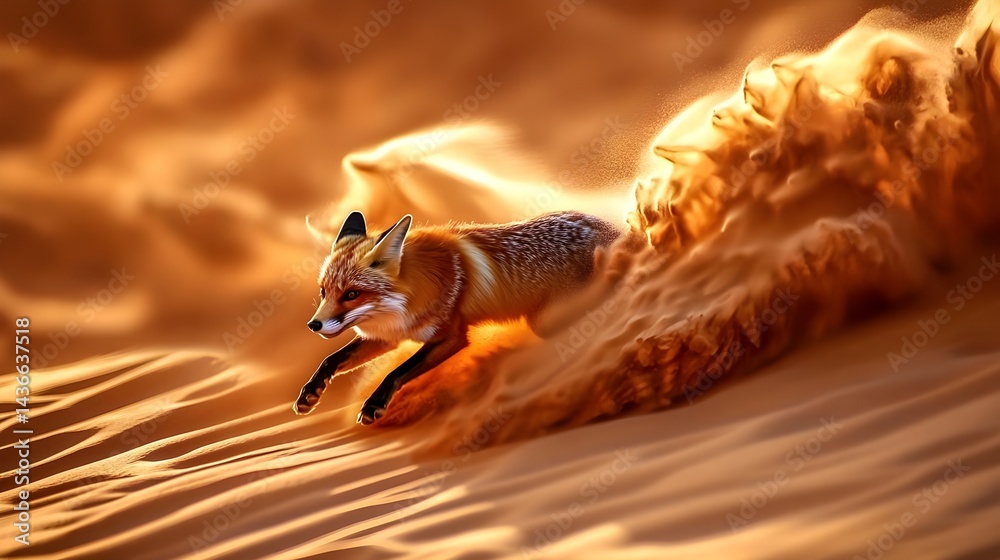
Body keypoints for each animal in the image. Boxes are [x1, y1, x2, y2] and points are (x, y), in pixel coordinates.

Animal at [293, 210, 620, 424]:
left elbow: (397, 371)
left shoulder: (451, 337)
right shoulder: (390, 336)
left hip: (546, 320)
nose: (313, 325)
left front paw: (374, 404)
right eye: (324, 291)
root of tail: (611, 227)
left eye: (352, 294)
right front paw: (310, 392)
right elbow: (331, 359)